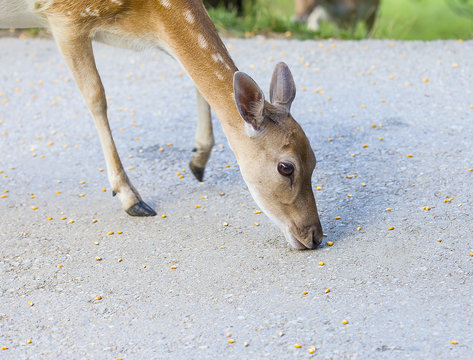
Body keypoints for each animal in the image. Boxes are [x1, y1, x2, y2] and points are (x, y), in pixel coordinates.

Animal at [0, 0, 322, 249]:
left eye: (315, 160)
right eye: (286, 167)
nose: (315, 236)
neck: (146, 15)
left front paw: (198, 159)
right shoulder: (64, 18)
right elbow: (96, 97)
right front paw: (131, 198)